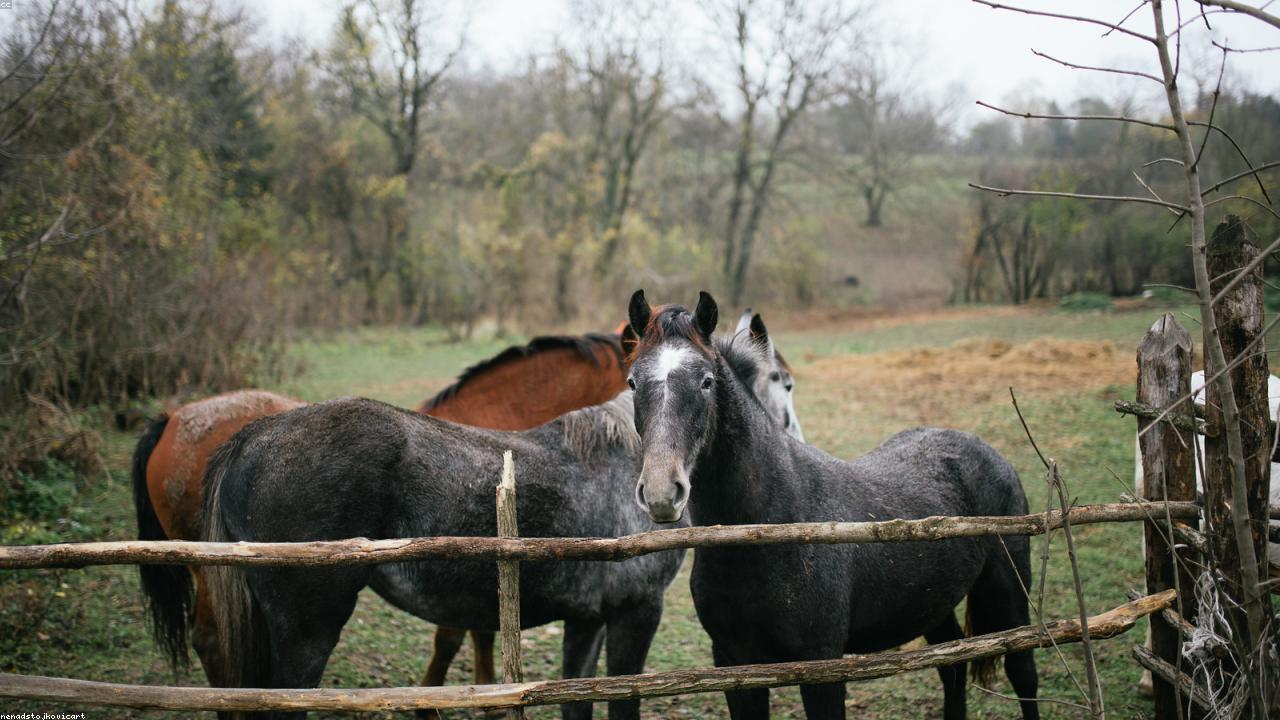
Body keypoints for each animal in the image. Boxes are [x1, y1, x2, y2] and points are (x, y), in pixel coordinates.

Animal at [623, 290, 1040, 720]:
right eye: (632, 382)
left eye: (706, 382)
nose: (661, 491)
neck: (768, 528)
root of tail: (985, 450)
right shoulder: (733, 664)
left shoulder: (821, 666)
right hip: (934, 605)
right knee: (953, 667)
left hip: (1007, 589)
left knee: (1023, 673)